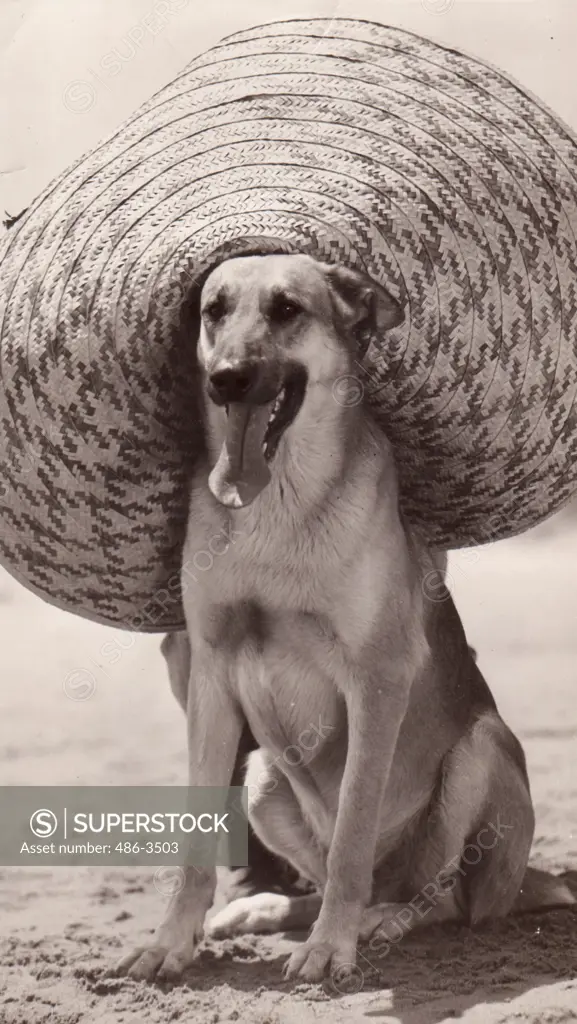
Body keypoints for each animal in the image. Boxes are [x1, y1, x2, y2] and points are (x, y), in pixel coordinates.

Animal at [116, 253, 573, 983]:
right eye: (215, 309)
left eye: (287, 309)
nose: (226, 379)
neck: (278, 505)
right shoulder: (211, 677)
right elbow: (194, 849)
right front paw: (170, 943)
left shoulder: (376, 680)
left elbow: (353, 830)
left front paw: (332, 947)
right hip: (262, 777)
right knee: (329, 871)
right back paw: (272, 910)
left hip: (479, 752)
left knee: (439, 898)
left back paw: (376, 921)